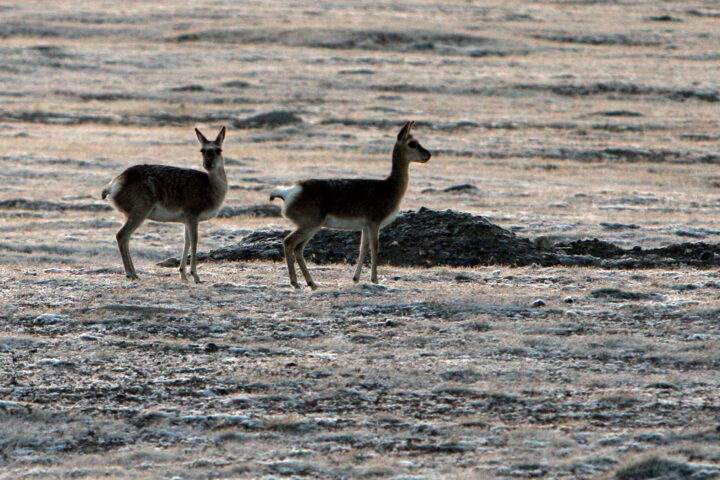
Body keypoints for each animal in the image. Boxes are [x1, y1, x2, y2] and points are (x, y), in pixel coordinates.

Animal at [101, 127, 228, 284]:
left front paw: (183, 275)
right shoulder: (192, 216)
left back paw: (134, 273)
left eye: (218, 149)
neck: (210, 187)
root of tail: (115, 183)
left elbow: (186, 242)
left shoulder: (186, 220)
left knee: (125, 237)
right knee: (121, 235)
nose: (208, 164)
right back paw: (131, 274)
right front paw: (196, 276)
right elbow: (194, 241)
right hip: (139, 213)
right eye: (202, 150)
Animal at [268, 122, 428, 290]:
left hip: (310, 228)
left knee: (298, 248)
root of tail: (291, 191)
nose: (428, 155)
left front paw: (356, 278)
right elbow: (374, 247)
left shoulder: (365, 227)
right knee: (289, 243)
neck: (389, 186)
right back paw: (297, 283)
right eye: (412, 143)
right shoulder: (374, 224)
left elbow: (363, 249)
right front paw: (375, 280)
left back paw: (311, 284)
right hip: (309, 226)